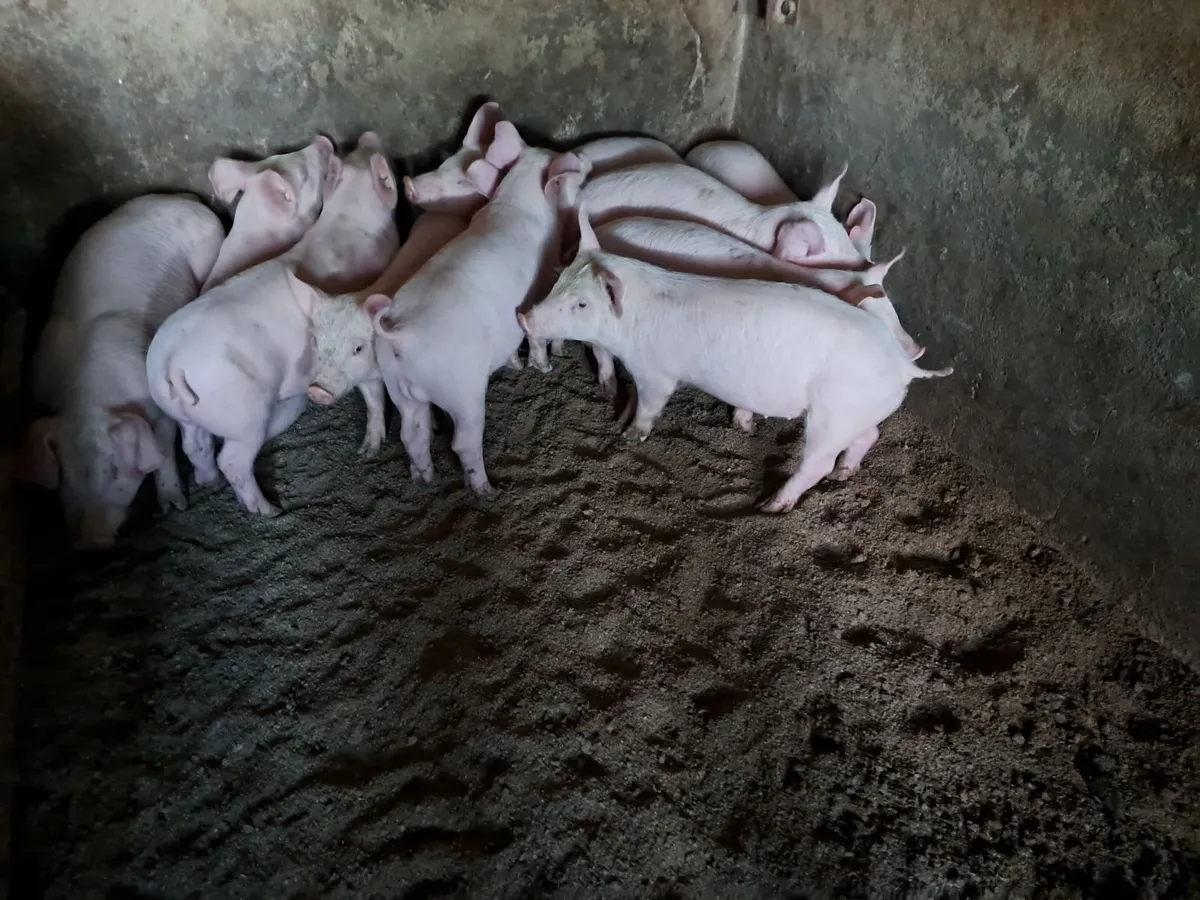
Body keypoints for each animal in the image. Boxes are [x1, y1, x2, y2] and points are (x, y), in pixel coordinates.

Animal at [21, 193, 225, 548]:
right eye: (65, 475)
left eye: (115, 470)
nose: (91, 542)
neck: (87, 395)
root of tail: (184, 198)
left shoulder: (155, 401)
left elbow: (164, 450)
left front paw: (173, 506)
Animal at [369, 121, 581, 494]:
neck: (516, 199)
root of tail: (402, 334)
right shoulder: (542, 284)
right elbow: (535, 329)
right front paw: (542, 367)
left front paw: (516, 364)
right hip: (463, 388)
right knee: (463, 441)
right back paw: (487, 491)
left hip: (397, 386)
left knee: (412, 433)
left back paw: (424, 480)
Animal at [593, 216, 921, 432]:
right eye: (873, 313)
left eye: (891, 308)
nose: (917, 348)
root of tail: (602, 230)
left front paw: (746, 426)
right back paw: (608, 389)